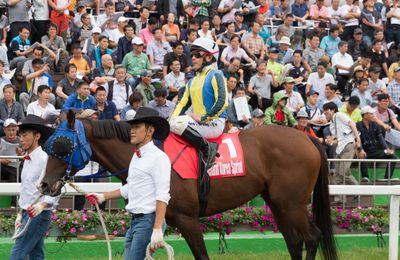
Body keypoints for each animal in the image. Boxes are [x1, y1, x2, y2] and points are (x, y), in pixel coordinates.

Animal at [39, 116, 338, 260]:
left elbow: (202, 255)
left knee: (312, 237)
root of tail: (307, 138)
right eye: (48, 144)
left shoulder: (188, 219)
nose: (44, 184)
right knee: (295, 242)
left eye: (62, 147)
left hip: (292, 204)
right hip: (278, 204)